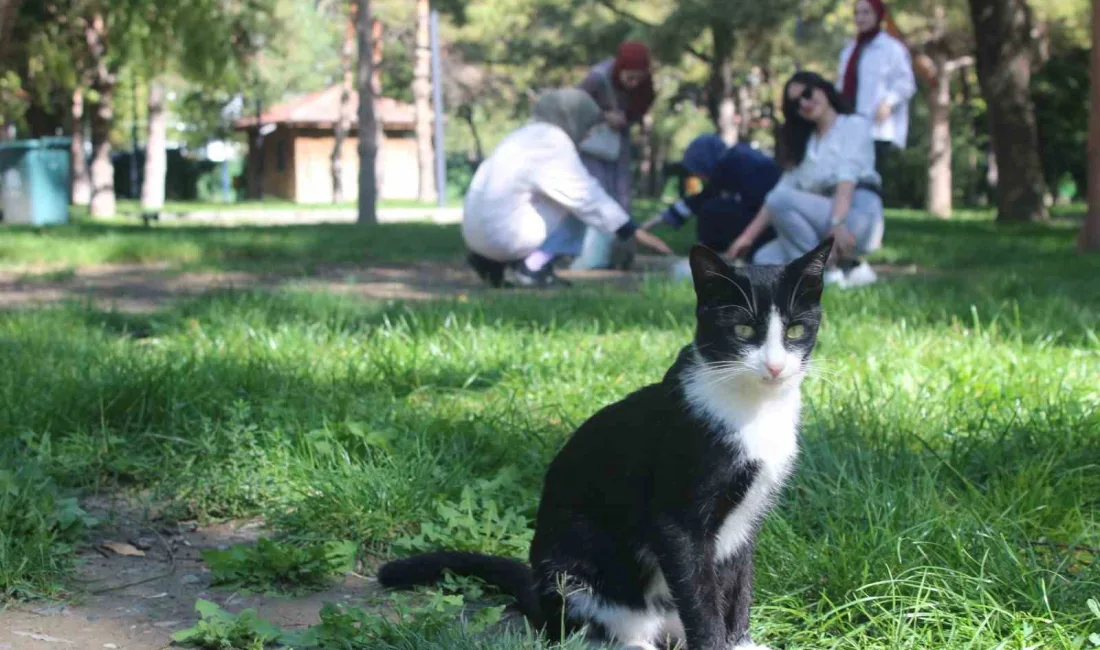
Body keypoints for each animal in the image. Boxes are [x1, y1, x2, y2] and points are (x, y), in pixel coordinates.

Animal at [380, 240, 831, 650]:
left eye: (795, 330)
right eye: (743, 330)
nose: (775, 366)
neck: (754, 410)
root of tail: (540, 599)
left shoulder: (747, 520)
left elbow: (737, 586)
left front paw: (740, 642)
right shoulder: (678, 518)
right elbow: (701, 598)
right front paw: (716, 643)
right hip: (574, 570)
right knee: (586, 632)